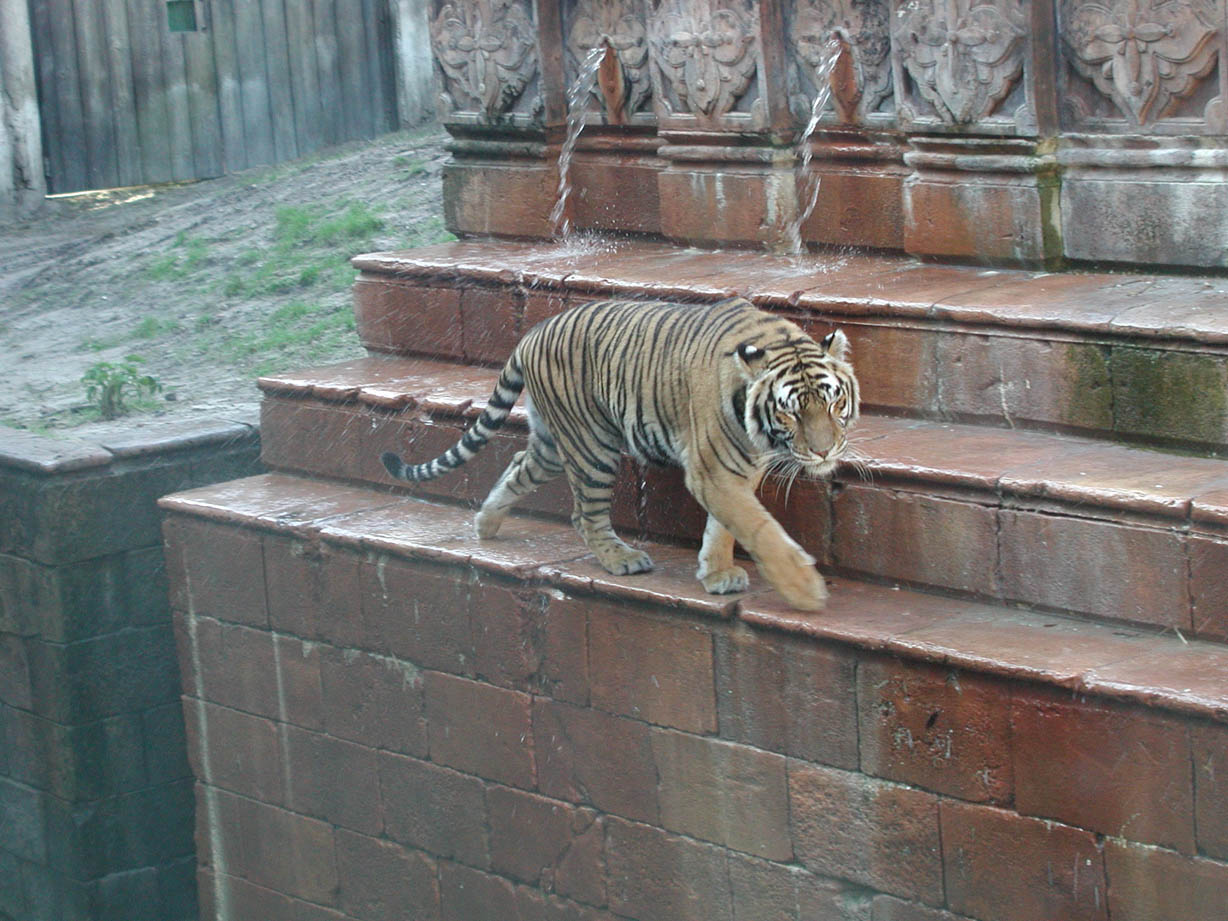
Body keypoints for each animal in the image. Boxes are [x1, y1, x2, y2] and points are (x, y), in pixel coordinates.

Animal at [381, 296, 860, 610]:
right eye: (790, 412)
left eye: (834, 402)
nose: (823, 452)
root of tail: (532, 332)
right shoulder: (714, 470)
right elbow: (758, 527)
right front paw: (805, 589)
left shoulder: (737, 469)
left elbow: (724, 526)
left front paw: (716, 572)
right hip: (592, 446)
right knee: (584, 514)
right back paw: (622, 559)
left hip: (552, 445)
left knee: (518, 466)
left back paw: (486, 524)